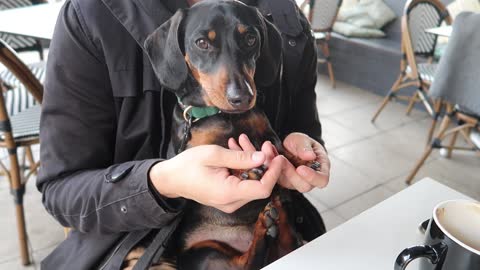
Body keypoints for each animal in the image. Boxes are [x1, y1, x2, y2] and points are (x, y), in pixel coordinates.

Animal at [134, 1, 322, 268]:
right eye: (202, 42)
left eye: (251, 38)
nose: (242, 97)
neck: (225, 116)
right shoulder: (192, 151)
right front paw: (246, 170)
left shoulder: (268, 135)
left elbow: (280, 151)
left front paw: (299, 160)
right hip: (203, 253)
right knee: (244, 262)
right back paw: (264, 226)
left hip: (282, 244)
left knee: (285, 240)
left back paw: (275, 214)